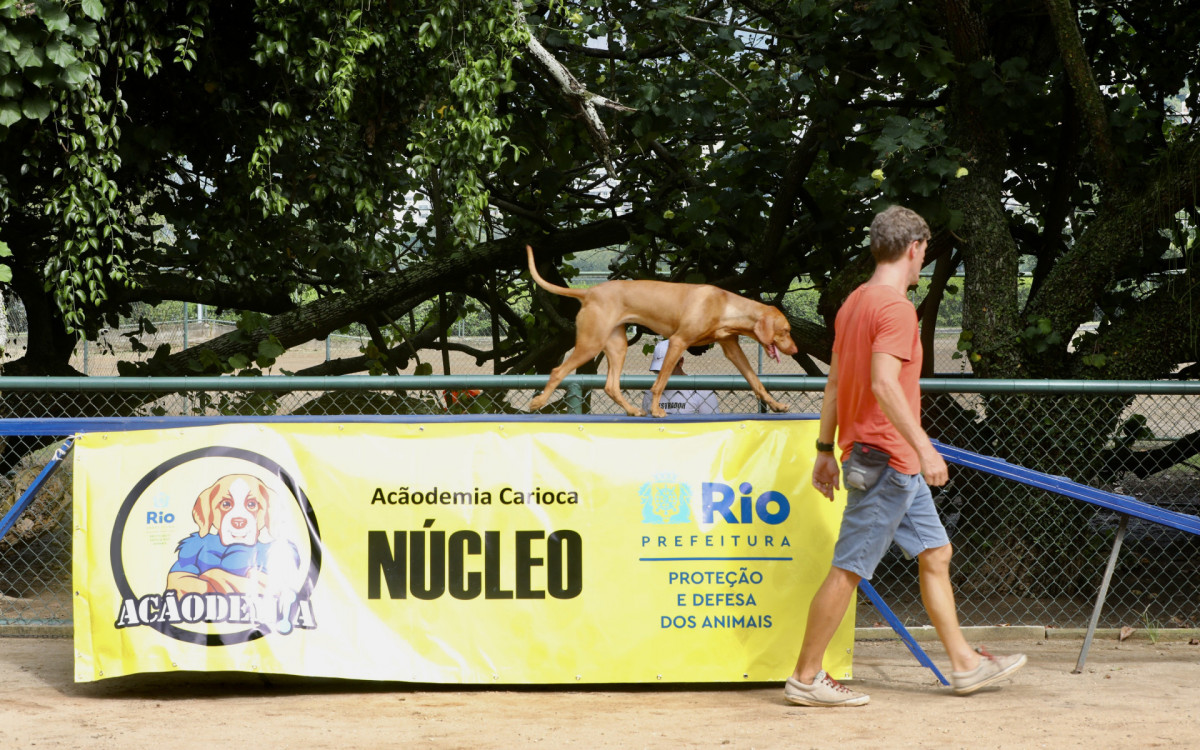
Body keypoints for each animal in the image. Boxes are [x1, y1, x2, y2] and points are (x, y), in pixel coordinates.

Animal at [528, 244, 796, 415]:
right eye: (785, 330)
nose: (795, 350)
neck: (726, 304)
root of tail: (590, 291)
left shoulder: (732, 349)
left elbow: (756, 381)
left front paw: (777, 406)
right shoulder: (678, 341)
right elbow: (661, 381)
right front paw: (657, 410)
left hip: (617, 346)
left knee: (611, 386)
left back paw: (633, 411)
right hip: (590, 343)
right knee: (557, 371)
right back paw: (538, 402)